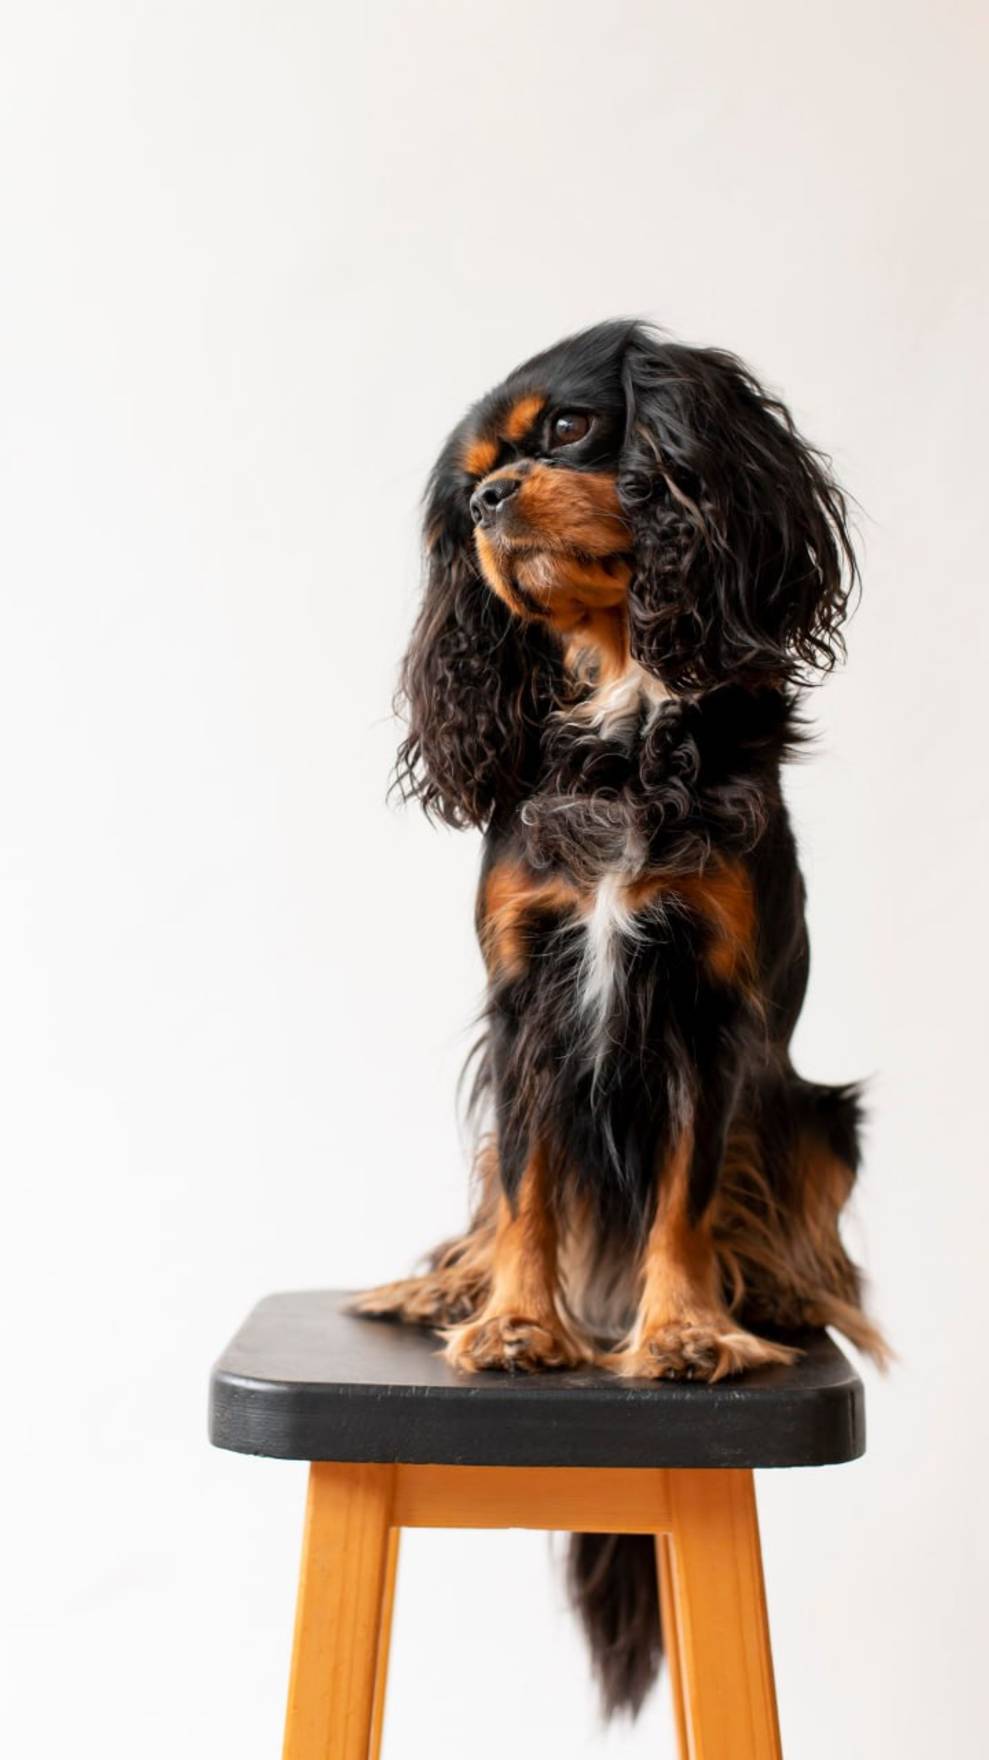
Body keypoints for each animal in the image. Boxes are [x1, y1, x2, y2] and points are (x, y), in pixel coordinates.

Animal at [355, 320, 884, 1714]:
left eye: (564, 431)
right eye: (463, 489)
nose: (491, 500)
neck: (621, 702)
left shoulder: (706, 1006)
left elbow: (687, 1194)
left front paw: (687, 1331)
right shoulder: (524, 1001)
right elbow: (530, 1186)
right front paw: (515, 1322)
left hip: (820, 1116)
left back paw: (771, 1297)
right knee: (486, 1204)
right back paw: (430, 1286)